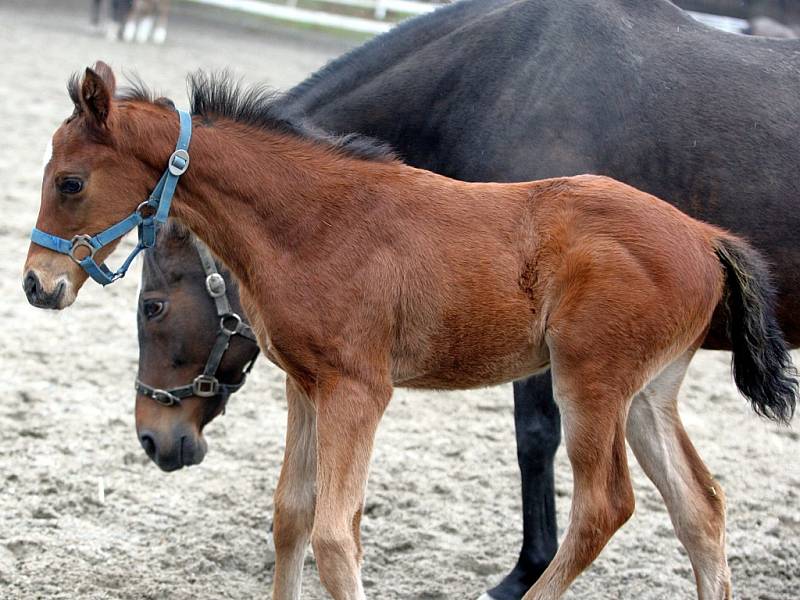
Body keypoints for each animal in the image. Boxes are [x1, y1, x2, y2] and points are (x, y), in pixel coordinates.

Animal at [23, 65, 792, 600]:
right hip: (647, 394)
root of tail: (705, 235)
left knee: (606, 507)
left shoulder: (359, 389)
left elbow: (335, 536)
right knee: (701, 508)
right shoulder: (307, 386)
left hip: (591, 382)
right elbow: (292, 515)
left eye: (69, 183)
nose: (36, 284)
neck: (312, 221)